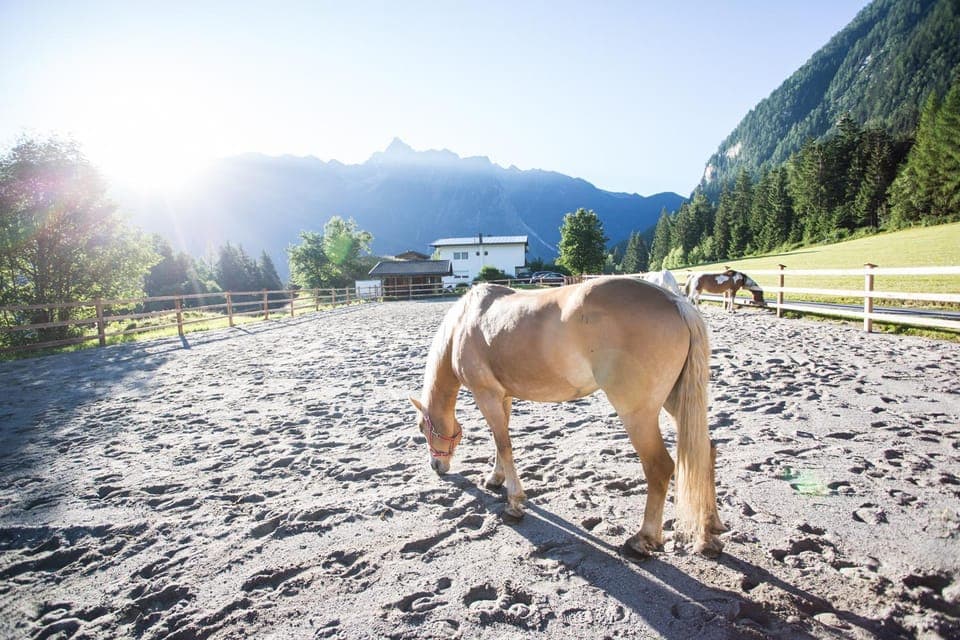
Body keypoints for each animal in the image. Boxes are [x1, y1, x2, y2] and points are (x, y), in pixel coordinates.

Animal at [410, 277, 725, 557]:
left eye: (422, 429)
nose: (436, 466)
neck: (463, 324)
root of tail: (675, 302)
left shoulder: (486, 395)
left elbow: (504, 444)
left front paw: (514, 503)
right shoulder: (503, 397)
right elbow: (501, 441)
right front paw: (495, 478)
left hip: (638, 414)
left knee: (659, 467)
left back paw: (642, 540)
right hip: (677, 401)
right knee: (705, 451)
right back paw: (709, 532)